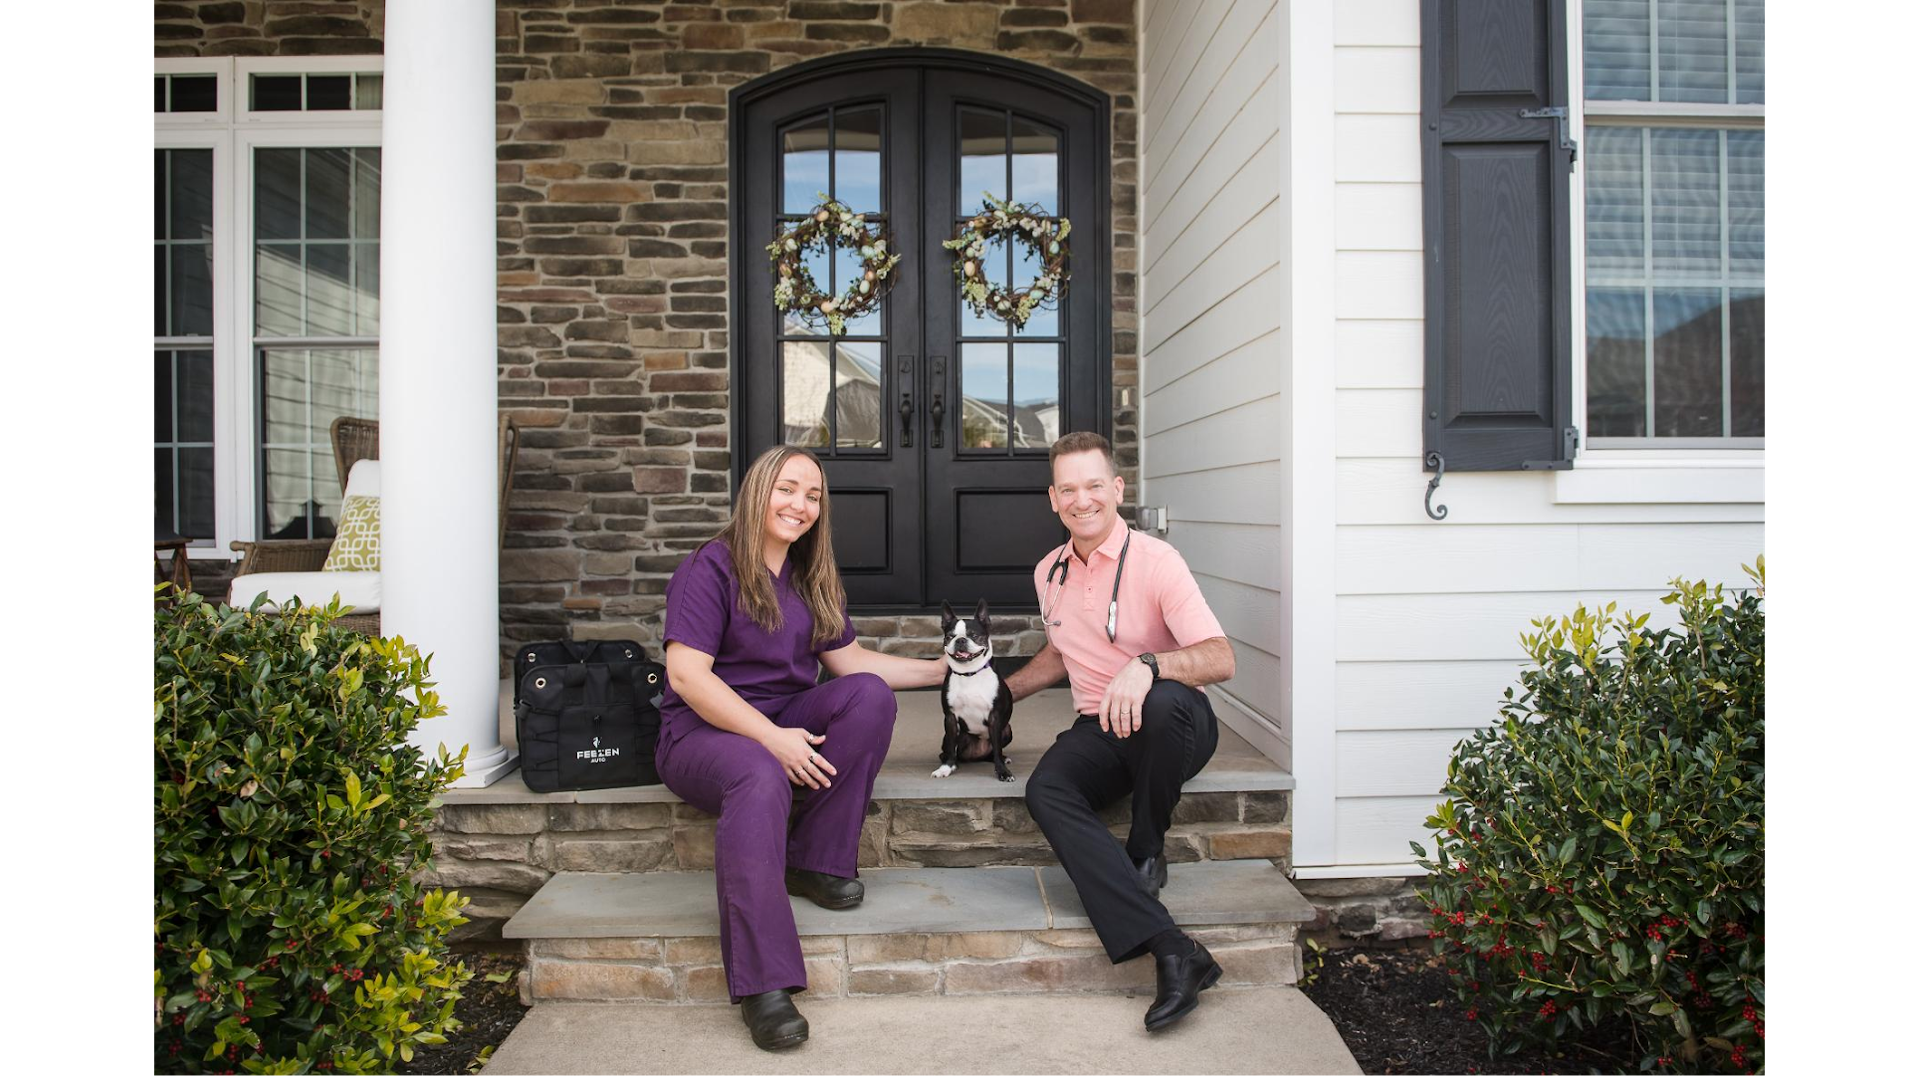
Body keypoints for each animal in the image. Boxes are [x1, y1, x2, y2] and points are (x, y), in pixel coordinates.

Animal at [933, 599, 1015, 783]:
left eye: (974, 635)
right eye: (949, 636)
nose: (961, 640)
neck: (969, 674)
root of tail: (978, 755)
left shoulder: (995, 718)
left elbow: (997, 749)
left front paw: (1003, 771)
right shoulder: (950, 718)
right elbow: (951, 747)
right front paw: (946, 768)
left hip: (1007, 729)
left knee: (994, 752)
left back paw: (1002, 758)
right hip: (953, 735)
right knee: (950, 751)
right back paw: (953, 763)